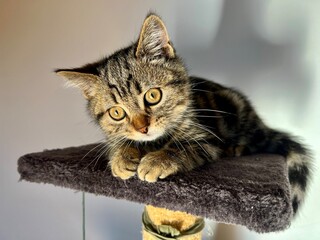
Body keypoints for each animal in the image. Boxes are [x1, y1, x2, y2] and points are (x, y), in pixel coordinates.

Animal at [56, 14, 312, 215]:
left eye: (153, 96)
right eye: (117, 112)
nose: (142, 128)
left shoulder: (207, 137)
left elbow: (184, 146)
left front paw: (157, 160)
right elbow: (119, 141)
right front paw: (122, 156)